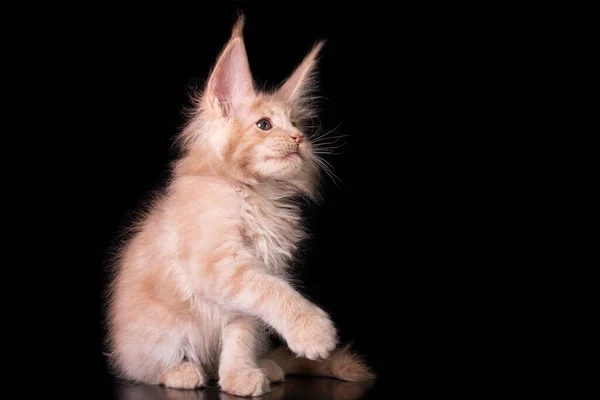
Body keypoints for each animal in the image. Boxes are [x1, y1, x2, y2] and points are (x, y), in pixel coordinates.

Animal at [105, 14, 372, 396]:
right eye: (264, 125)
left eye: (297, 125)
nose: (298, 139)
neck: (257, 194)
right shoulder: (220, 265)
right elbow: (275, 292)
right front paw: (313, 331)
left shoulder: (250, 279)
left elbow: (242, 333)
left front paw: (238, 376)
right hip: (161, 335)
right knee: (143, 368)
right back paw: (182, 372)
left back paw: (266, 366)